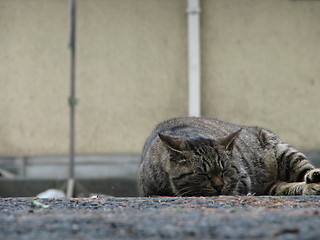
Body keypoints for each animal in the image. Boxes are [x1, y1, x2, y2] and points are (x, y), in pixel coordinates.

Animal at [139, 116, 320, 197]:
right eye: (202, 174)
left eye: (225, 170)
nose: (219, 186)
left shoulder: (242, 179)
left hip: (286, 154)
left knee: (305, 171)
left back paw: (314, 176)